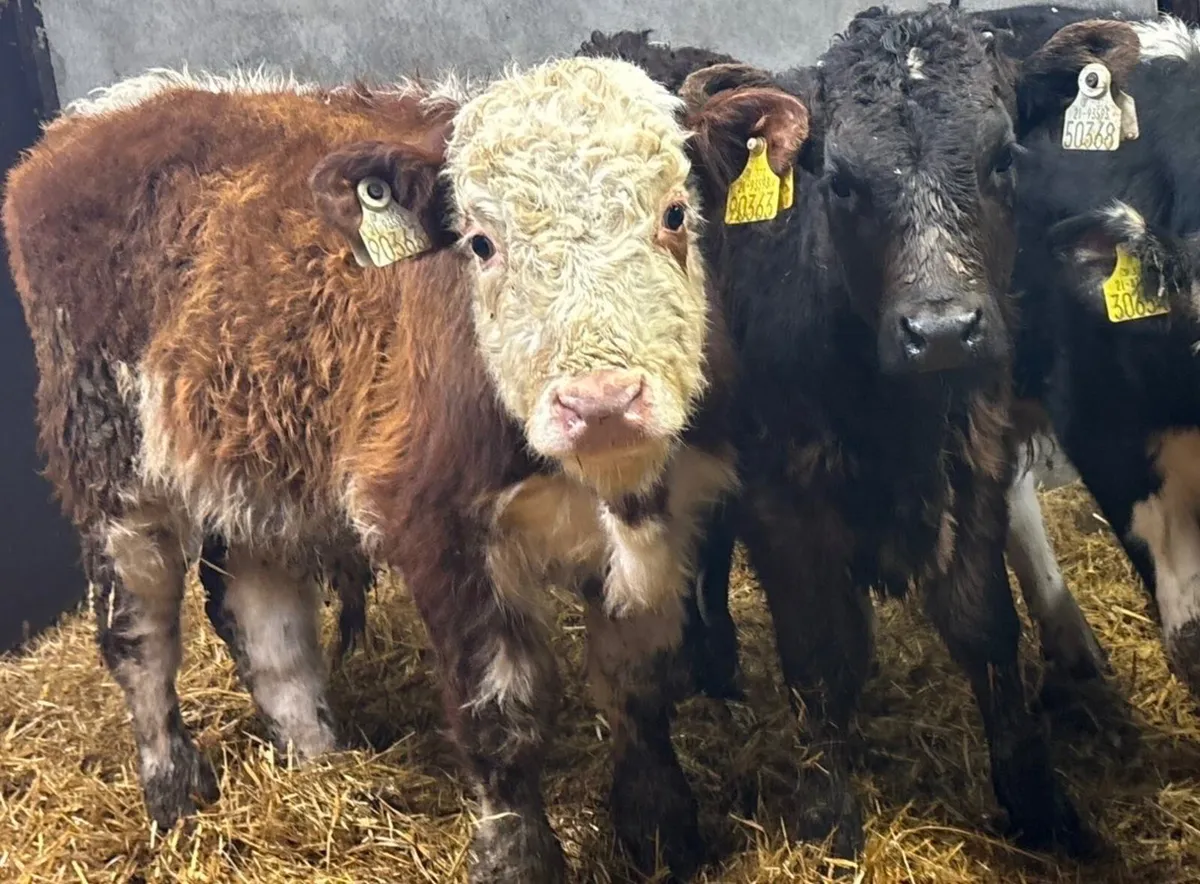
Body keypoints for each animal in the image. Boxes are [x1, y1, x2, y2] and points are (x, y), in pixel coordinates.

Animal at [2, 57, 811, 882]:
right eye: (481, 243)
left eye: (676, 214)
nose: (601, 400)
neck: (608, 491)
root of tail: (101, 114)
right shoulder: (439, 530)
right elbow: (502, 717)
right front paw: (516, 859)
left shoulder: (676, 513)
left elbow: (640, 687)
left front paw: (662, 834)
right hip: (107, 461)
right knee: (140, 635)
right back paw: (174, 795)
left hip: (258, 459)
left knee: (261, 613)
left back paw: (319, 762)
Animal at [588, 4, 1142, 860]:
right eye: (842, 180)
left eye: (1002, 159)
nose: (942, 330)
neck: (896, 420)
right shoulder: (783, 496)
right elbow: (821, 654)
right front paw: (826, 819)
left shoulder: (975, 466)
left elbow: (986, 629)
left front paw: (1041, 807)